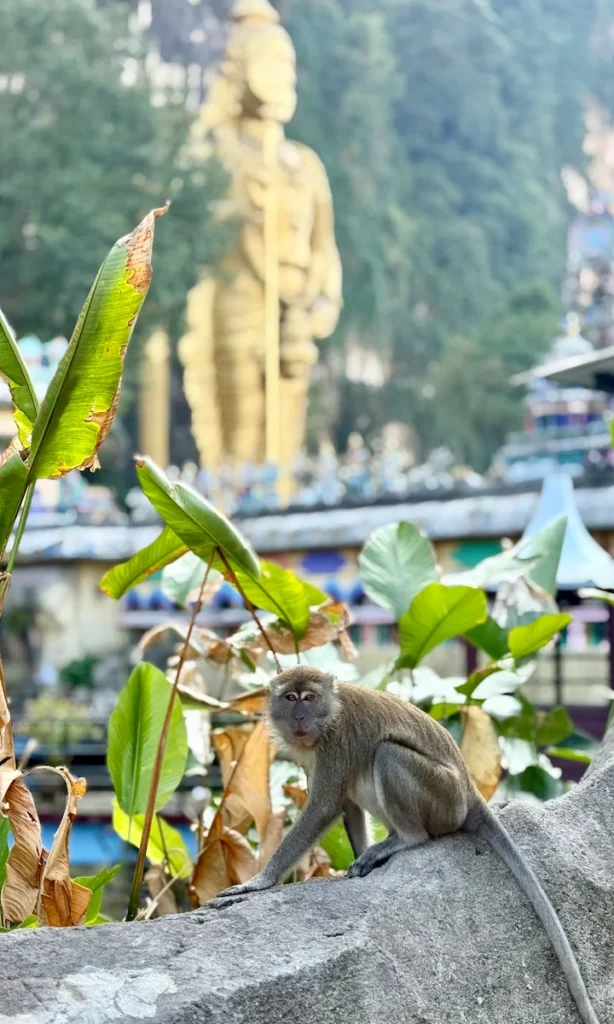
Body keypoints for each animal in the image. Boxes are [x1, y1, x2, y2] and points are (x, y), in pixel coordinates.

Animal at [216, 666, 600, 1024]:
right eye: (290, 698)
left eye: (309, 698)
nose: (299, 718)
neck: (329, 715)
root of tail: (469, 793)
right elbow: (347, 806)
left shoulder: (335, 743)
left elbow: (324, 807)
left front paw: (260, 880)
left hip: (442, 798)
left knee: (388, 754)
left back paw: (405, 839)